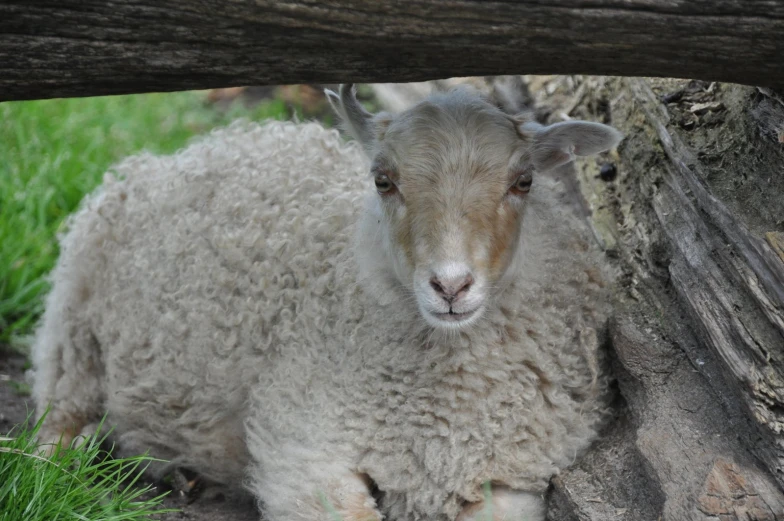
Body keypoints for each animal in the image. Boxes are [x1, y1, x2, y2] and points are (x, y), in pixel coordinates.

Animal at [32, 83, 624, 516]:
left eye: (524, 182)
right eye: (383, 181)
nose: (451, 286)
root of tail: (186, 153)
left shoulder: (509, 475)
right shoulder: (304, 446)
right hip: (73, 329)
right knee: (55, 418)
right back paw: (54, 464)